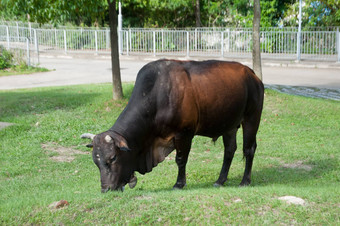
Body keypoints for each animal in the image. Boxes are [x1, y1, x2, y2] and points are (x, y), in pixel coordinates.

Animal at [81, 59, 264, 192]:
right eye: (95, 161)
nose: (106, 189)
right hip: (229, 125)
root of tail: (252, 74)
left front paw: (179, 184)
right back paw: (220, 180)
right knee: (229, 150)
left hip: (252, 118)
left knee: (249, 149)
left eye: (113, 158)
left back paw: (245, 181)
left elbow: (181, 160)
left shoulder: (184, 133)